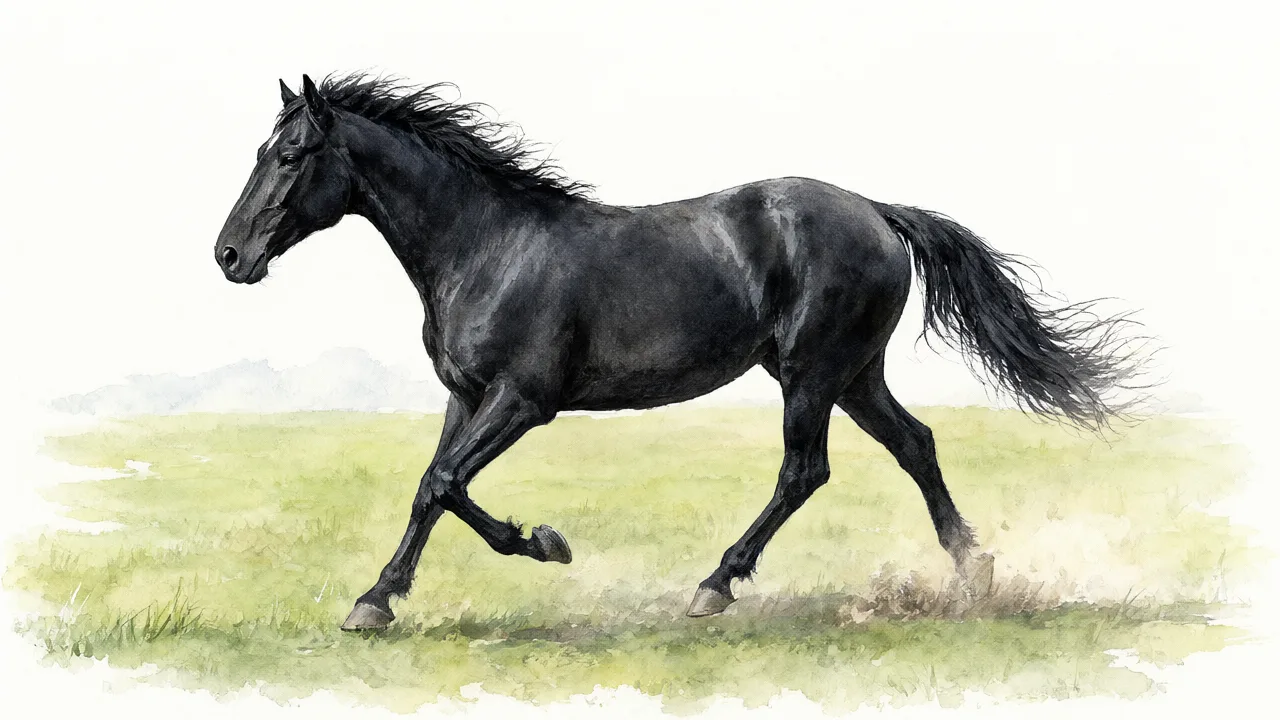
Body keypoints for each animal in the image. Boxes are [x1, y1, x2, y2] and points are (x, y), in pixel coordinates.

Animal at [215, 74, 1144, 630]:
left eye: (292, 154)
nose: (228, 256)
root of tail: (878, 212)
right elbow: (432, 489)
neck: (487, 245)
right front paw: (381, 599)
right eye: (261, 150)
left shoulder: (522, 400)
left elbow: (444, 484)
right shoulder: (465, 396)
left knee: (805, 470)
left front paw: (540, 545)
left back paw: (714, 586)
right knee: (915, 445)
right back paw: (974, 574)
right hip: (853, 374)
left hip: (811, 372)